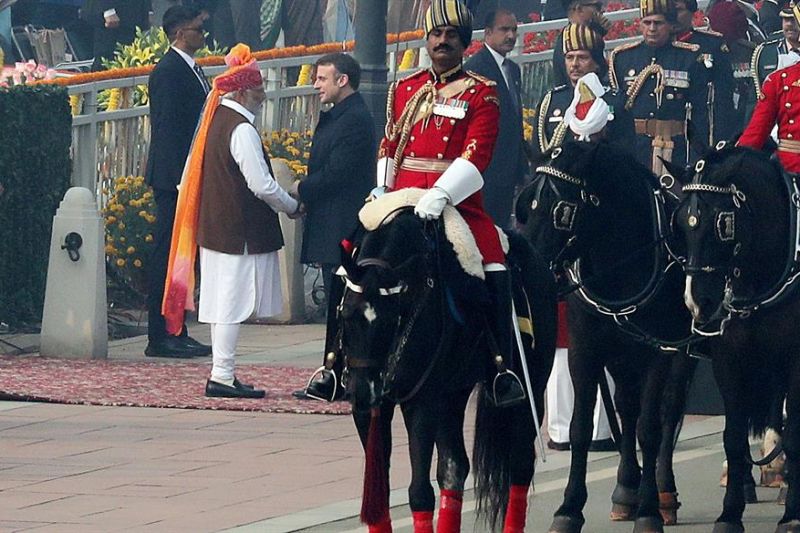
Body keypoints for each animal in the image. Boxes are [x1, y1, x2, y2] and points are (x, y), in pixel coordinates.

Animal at [338, 202, 556, 528]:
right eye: (345, 315)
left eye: (391, 320)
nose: (362, 392)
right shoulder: (370, 410)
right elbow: (379, 496)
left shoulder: (422, 400)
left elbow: (419, 492)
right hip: (452, 393)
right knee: (454, 467)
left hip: (531, 386)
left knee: (519, 462)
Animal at [516, 140, 696, 532]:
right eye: (526, 205)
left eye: (562, 211)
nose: (527, 273)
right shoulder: (585, 351)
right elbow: (581, 427)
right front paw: (569, 508)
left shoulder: (660, 351)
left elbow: (650, 428)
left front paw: (648, 512)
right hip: (622, 354)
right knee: (626, 407)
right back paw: (626, 489)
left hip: (678, 354)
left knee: (669, 410)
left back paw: (663, 493)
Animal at [672, 142, 800, 532]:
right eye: (680, 223)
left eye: (723, 223)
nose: (698, 302)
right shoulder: (730, 359)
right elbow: (732, 437)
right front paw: (729, 513)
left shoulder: (794, 360)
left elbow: (794, 433)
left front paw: (792, 514)